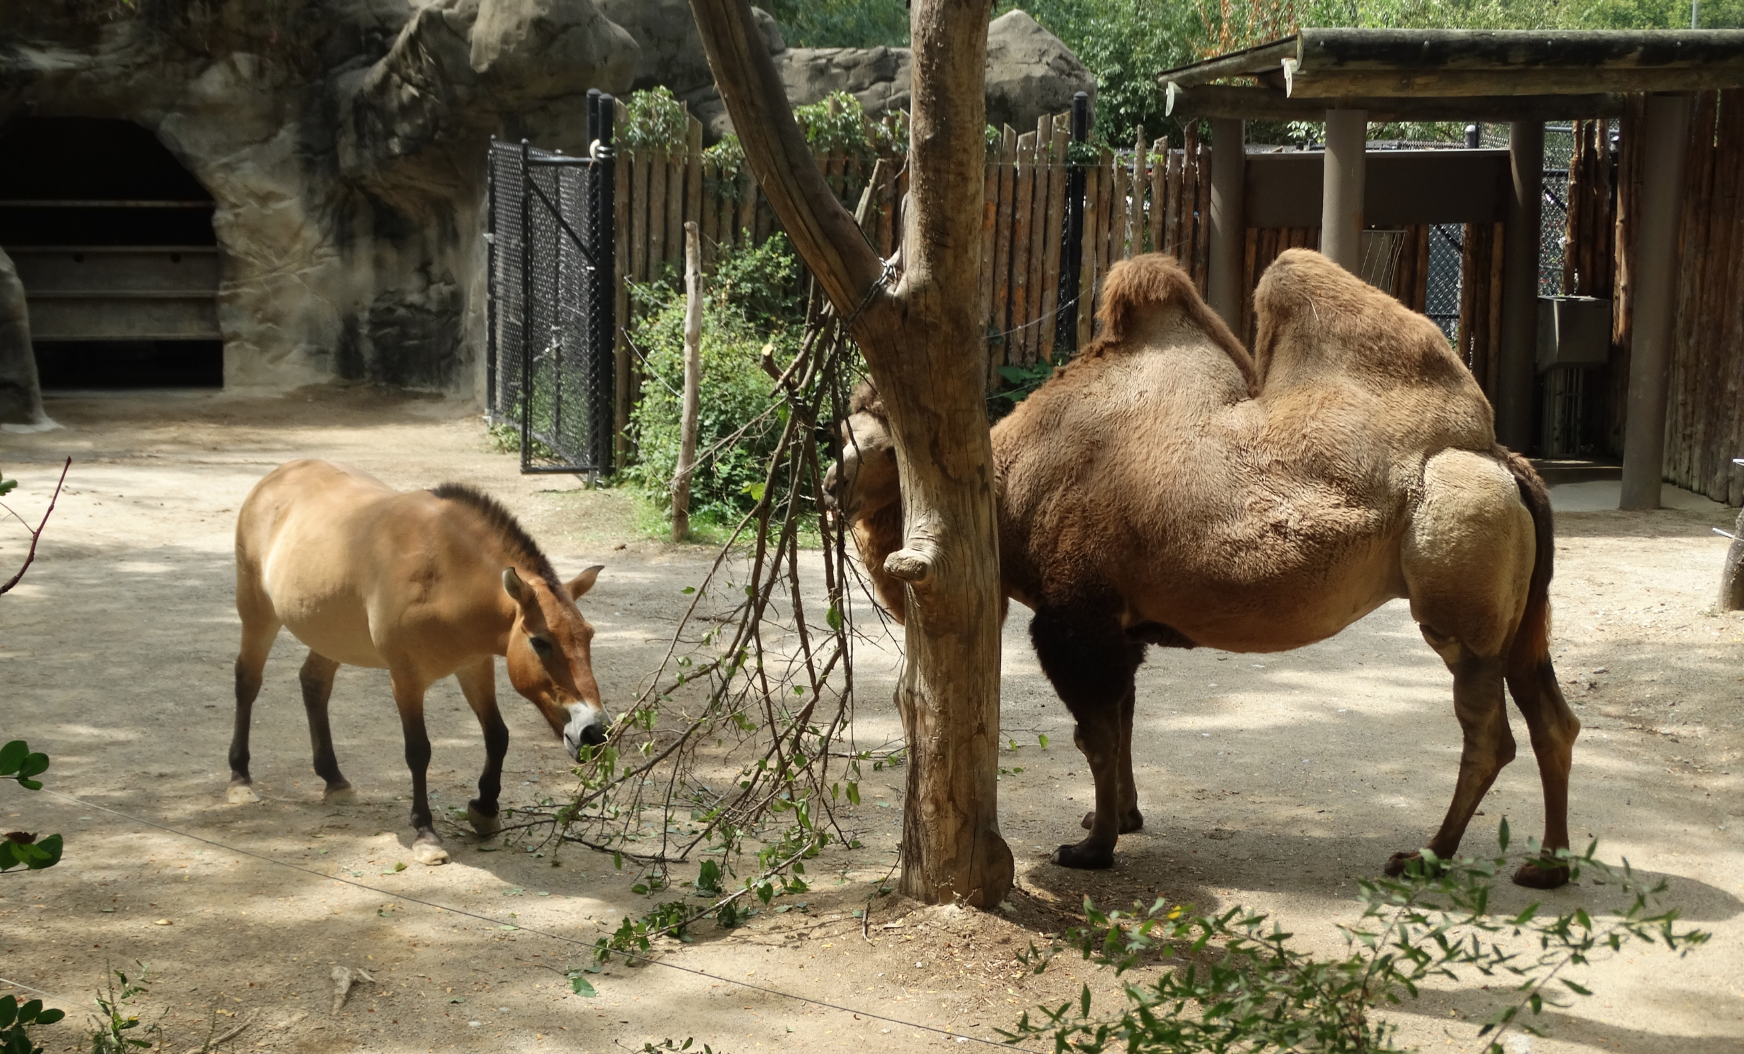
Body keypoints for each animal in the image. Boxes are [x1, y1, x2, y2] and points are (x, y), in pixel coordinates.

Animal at [229, 459, 610, 864]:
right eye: (540, 642)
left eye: (588, 635)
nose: (594, 732)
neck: (444, 574)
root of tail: (277, 476)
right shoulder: (406, 680)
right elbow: (419, 751)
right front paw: (426, 834)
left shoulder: (474, 666)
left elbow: (497, 736)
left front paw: (485, 809)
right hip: (258, 614)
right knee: (247, 681)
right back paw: (239, 778)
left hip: (331, 636)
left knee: (313, 683)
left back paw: (334, 780)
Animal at [826, 250, 1579, 888]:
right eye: (840, 438)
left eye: (878, 448)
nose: (831, 486)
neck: (1011, 489)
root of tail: (1503, 460)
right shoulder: (1119, 626)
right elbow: (1123, 719)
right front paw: (1121, 818)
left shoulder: (1075, 620)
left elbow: (1095, 733)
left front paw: (1093, 848)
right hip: (1519, 613)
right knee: (1551, 716)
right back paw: (1546, 865)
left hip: (1459, 594)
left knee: (1490, 732)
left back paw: (1427, 855)